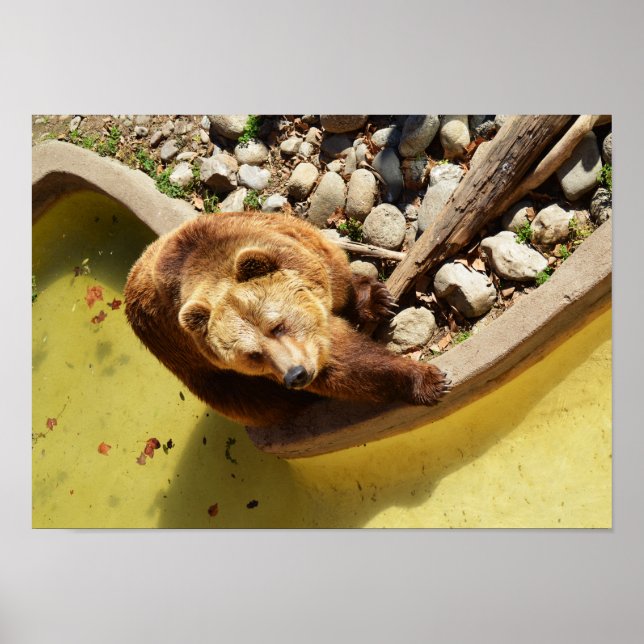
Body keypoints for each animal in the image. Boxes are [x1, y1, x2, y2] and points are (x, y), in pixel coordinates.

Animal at [124, 212, 449, 427]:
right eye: (253, 355)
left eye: (277, 326)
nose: (296, 375)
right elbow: (344, 364)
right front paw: (429, 380)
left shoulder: (307, 251)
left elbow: (342, 285)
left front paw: (377, 298)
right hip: (196, 368)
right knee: (252, 401)